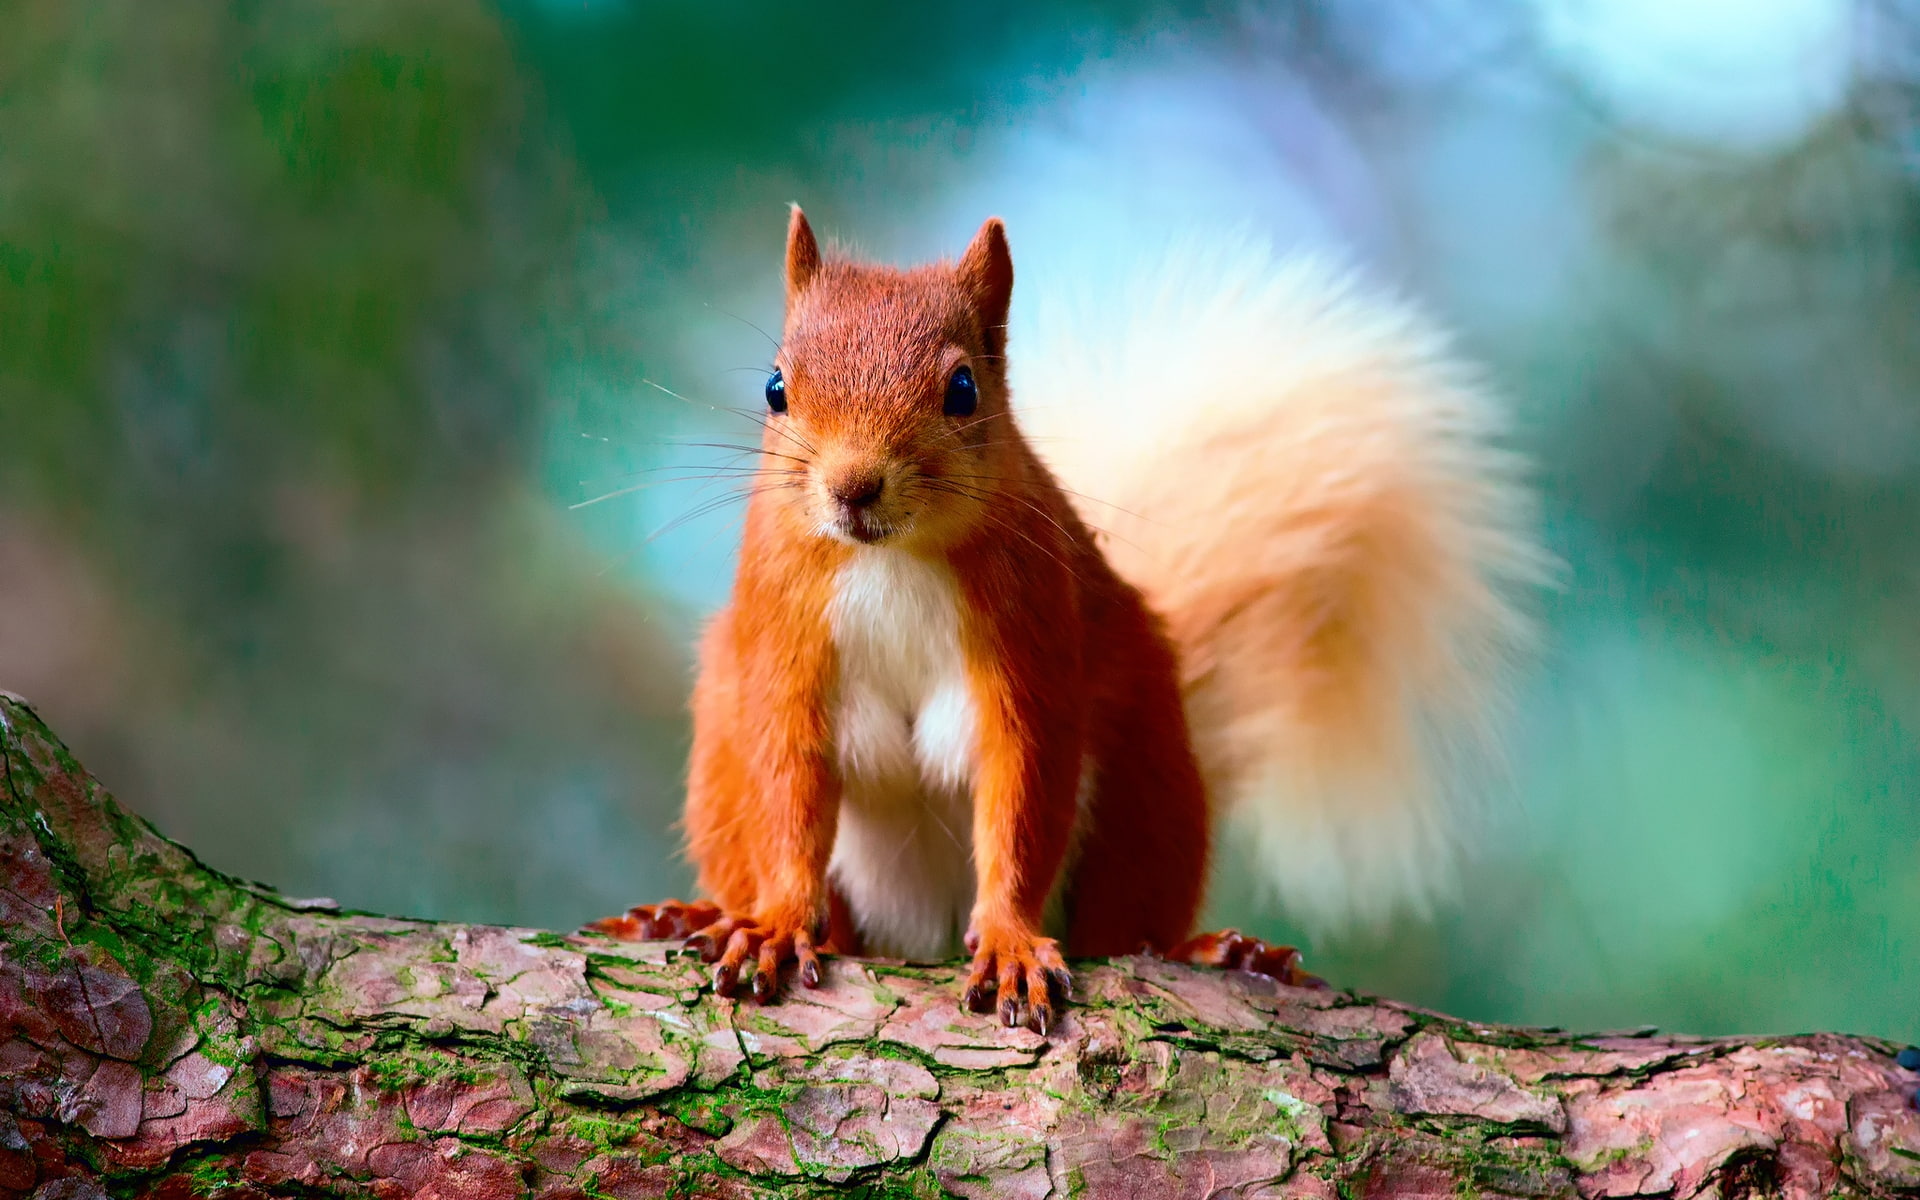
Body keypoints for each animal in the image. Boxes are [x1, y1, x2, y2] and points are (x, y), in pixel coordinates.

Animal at [589, 207, 1546, 1034]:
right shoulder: (784, 639)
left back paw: (1219, 952)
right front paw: (780, 923)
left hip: (1147, 777)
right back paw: (688, 913)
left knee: (1124, 926)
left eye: (963, 388)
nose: (853, 487)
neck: (889, 556)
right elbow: (789, 787)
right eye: (775, 386)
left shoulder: (1033, 642)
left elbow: (1022, 794)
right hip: (721, 737)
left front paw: (1011, 940)